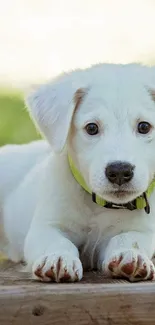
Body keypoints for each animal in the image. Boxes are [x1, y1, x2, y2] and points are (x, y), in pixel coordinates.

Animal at [0, 63, 155, 280]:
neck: (98, 205)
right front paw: (57, 257)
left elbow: (129, 238)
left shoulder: (143, 231)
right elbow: (57, 241)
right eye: (91, 128)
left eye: (144, 126)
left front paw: (130, 254)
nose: (119, 171)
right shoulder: (45, 226)